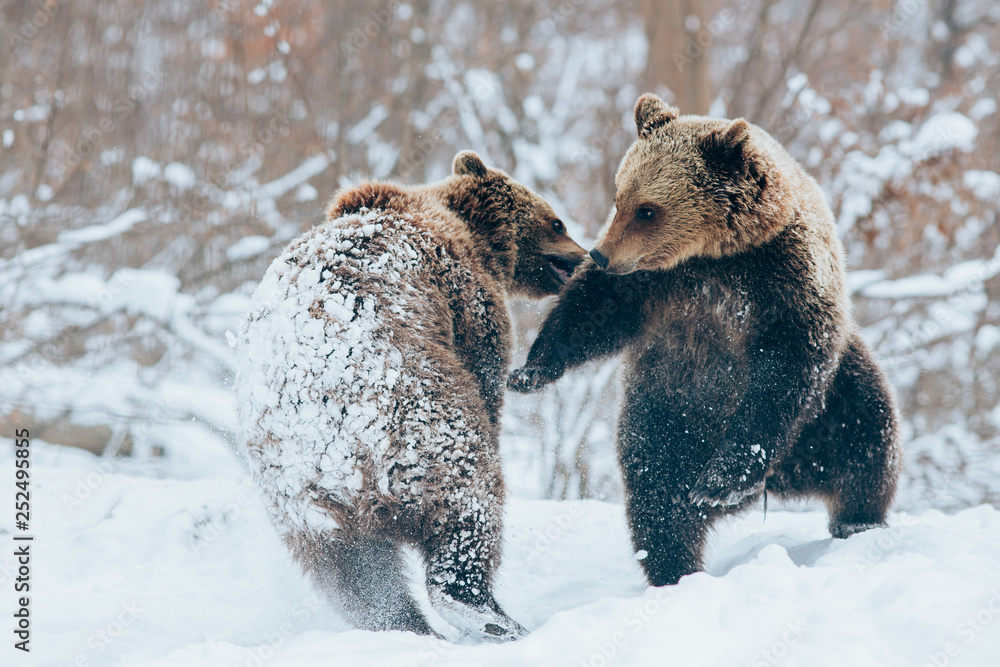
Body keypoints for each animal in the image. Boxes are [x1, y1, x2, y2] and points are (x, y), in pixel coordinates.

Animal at [237, 151, 586, 640]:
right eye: (557, 222)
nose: (585, 256)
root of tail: (329, 453)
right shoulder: (464, 294)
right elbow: (485, 365)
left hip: (305, 508)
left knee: (359, 577)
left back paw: (406, 625)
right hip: (420, 423)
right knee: (470, 500)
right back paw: (487, 614)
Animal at [508, 94, 902, 587]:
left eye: (647, 209)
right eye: (619, 198)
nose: (599, 254)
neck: (716, 256)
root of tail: (785, 478)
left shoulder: (785, 281)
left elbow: (784, 372)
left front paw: (721, 481)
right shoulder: (657, 286)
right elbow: (590, 311)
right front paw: (529, 371)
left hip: (832, 401)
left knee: (867, 440)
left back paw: (852, 520)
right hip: (666, 406)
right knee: (657, 488)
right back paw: (675, 567)